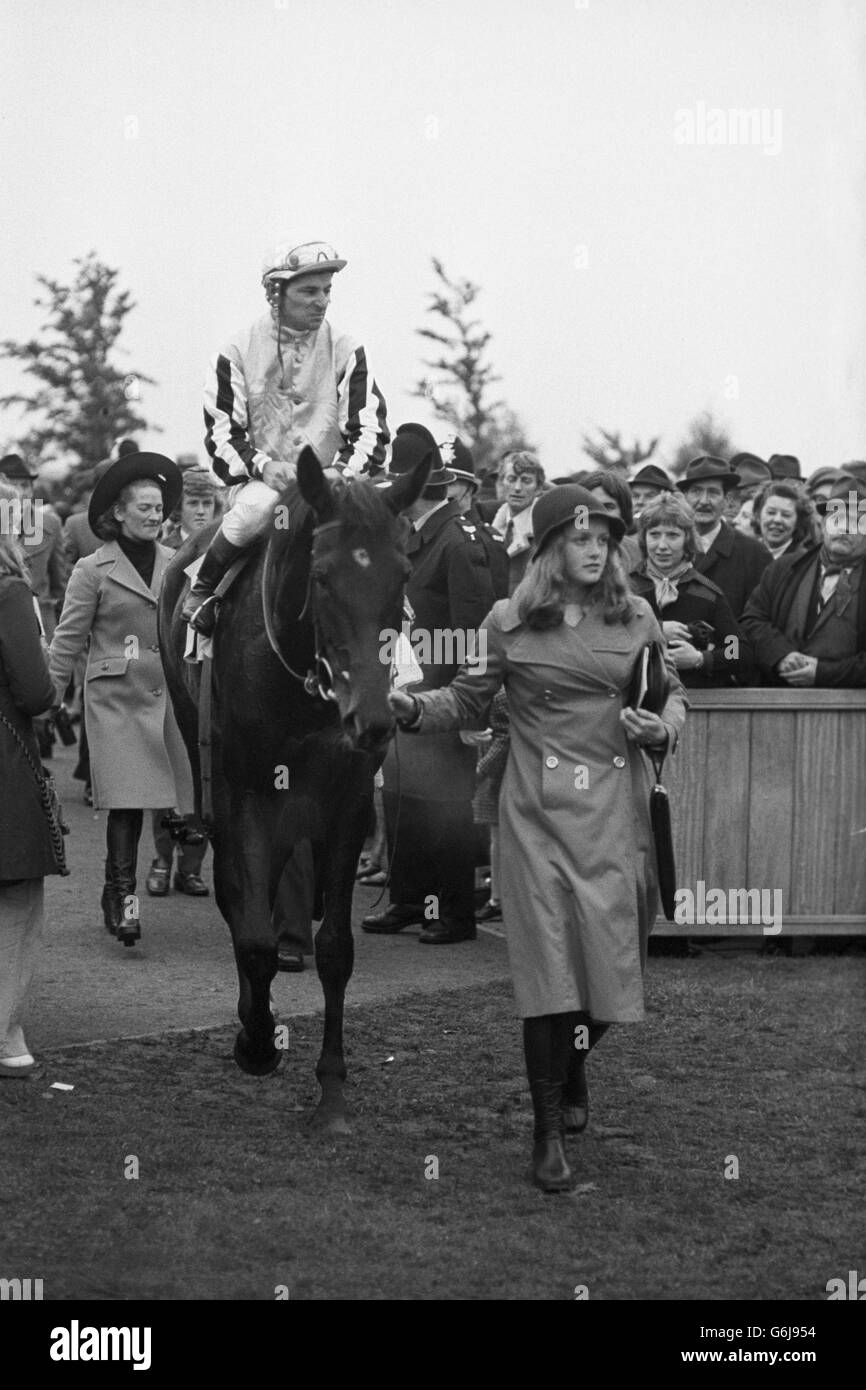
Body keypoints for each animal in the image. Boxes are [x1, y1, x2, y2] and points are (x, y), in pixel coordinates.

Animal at [159, 450, 430, 1134]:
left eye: (403, 572)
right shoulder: (244, 793)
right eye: (324, 575)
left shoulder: (347, 801)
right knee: (235, 896)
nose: (374, 719)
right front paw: (256, 1042)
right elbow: (251, 930)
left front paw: (331, 1092)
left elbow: (335, 949)